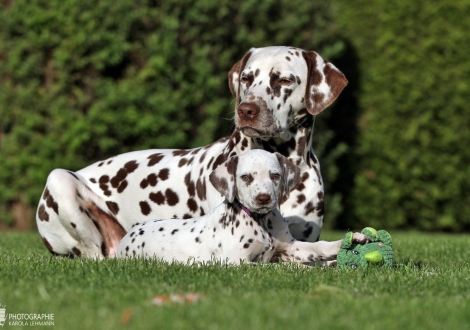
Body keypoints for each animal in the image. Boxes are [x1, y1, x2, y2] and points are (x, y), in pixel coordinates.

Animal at [117, 151, 368, 264]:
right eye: (246, 177)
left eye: (275, 175)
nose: (264, 198)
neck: (260, 222)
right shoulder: (238, 263)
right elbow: (274, 269)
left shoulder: (292, 247)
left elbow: (320, 247)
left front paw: (352, 240)